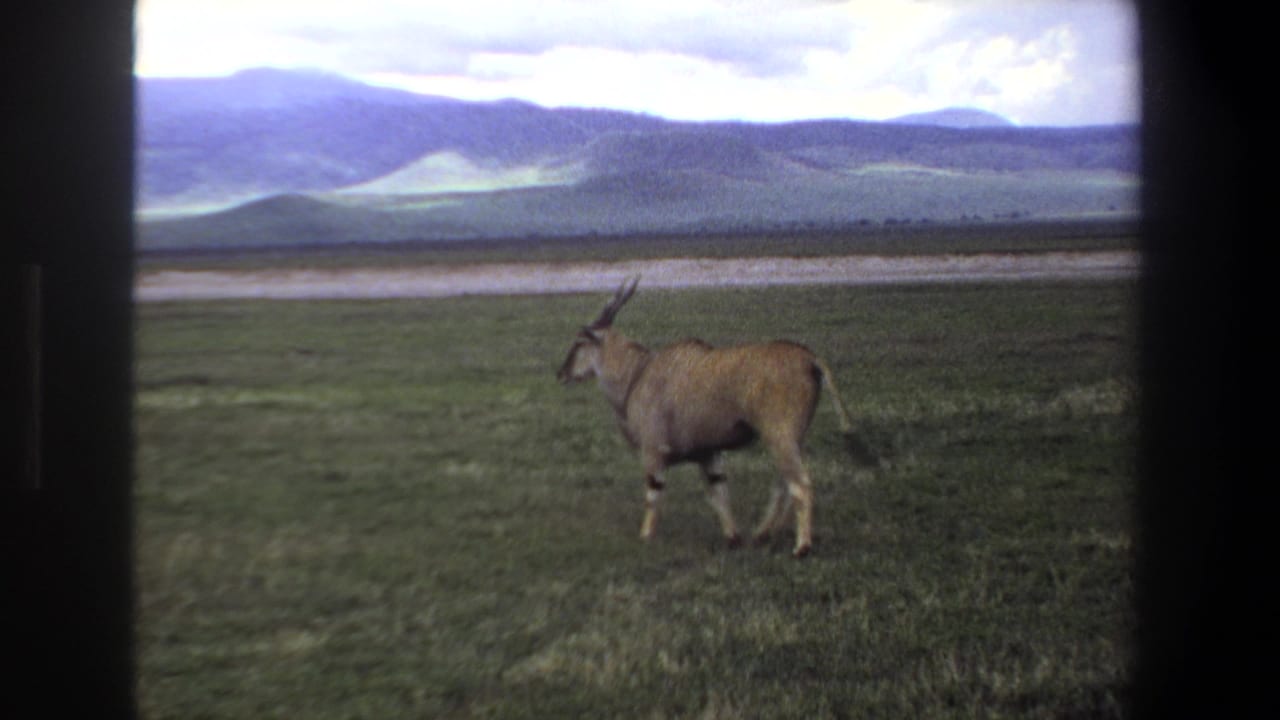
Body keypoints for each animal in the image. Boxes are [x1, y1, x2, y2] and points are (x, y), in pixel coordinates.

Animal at [556, 276, 861, 558]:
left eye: (579, 342)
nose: (561, 373)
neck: (638, 373)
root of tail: (809, 359)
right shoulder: (709, 454)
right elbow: (719, 493)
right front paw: (733, 538)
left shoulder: (653, 452)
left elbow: (654, 494)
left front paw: (645, 537)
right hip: (792, 439)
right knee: (784, 484)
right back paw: (761, 534)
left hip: (779, 436)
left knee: (800, 485)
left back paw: (802, 546)